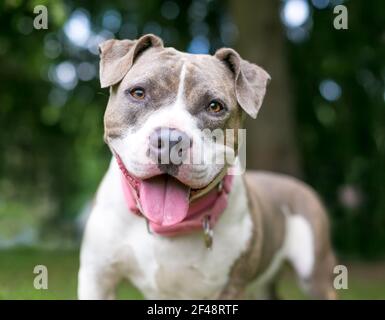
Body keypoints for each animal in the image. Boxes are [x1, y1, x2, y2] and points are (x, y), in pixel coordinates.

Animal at [76, 33, 334, 298]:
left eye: (214, 106)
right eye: (138, 93)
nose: (170, 140)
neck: (167, 229)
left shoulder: (231, 288)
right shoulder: (97, 278)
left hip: (316, 273)